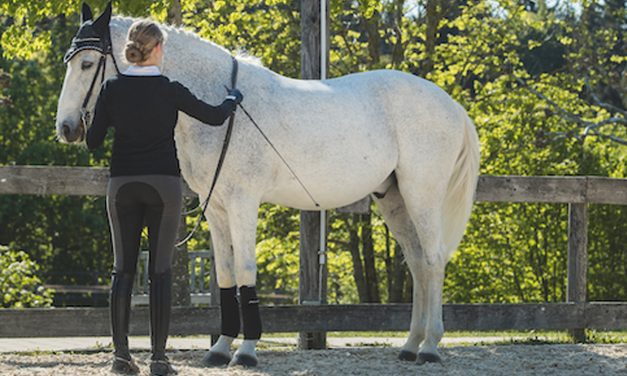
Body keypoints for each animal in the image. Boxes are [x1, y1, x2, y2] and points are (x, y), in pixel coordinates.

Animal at [55, 2, 480, 368]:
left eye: (88, 63)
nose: (66, 128)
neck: (219, 105)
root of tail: (453, 107)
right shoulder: (217, 207)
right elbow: (226, 274)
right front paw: (220, 350)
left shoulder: (243, 202)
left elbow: (245, 269)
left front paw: (246, 352)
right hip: (393, 200)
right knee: (419, 264)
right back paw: (410, 346)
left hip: (421, 196)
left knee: (433, 259)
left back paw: (429, 348)